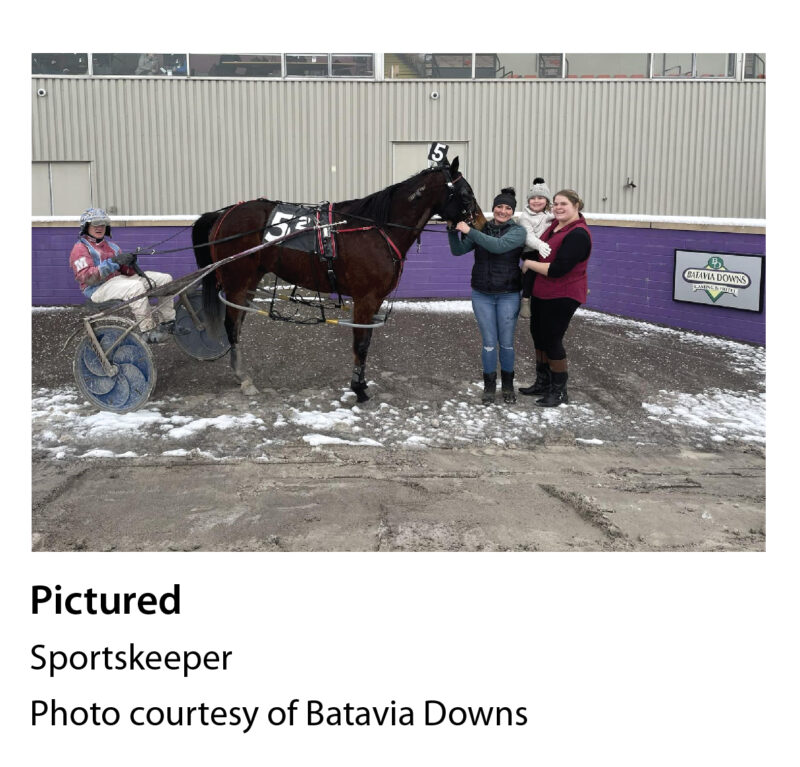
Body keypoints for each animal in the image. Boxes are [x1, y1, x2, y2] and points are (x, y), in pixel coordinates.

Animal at [192, 157, 488, 402]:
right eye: (466, 193)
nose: (483, 224)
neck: (376, 229)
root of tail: (225, 213)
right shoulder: (365, 298)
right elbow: (361, 344)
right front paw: (358, 388)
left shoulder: (374, 300)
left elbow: (365, 342)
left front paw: (361, 383)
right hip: (237, 282)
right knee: (232, 326)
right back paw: (243, 378)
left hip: (249, 282)